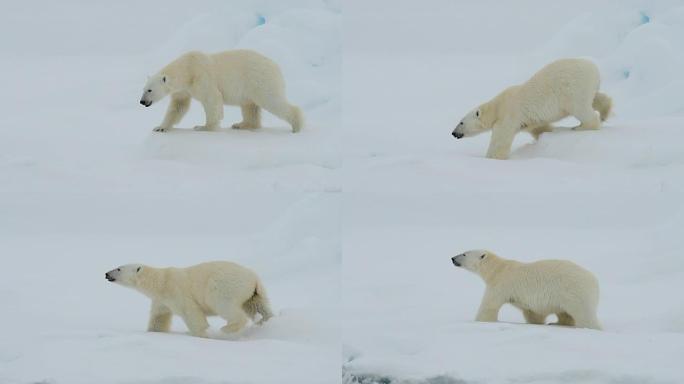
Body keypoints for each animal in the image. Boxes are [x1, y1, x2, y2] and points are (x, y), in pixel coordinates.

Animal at [104, 260, 272, 338]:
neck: (160, 281)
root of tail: (254, 278)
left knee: (225, 305)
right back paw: (267, 323)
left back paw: (226, 329)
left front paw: (204, 333)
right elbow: (159, 318)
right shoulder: (161, 301)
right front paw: (153, 332)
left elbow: (191, 313)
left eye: (119, 268)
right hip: (255, 294)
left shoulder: (176, 291)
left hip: (223, 286)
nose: (106, 273)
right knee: (259, 307)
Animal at [140, 50, 304, 134]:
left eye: (149, 90)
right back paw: (241, 124)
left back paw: (297, 126)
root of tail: (276, 66)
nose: (142, 101)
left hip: (260, 81)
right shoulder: (184, 89)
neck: (187, 68)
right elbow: (178, 106)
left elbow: (212, 98)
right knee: (249, 106)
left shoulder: (201, 76)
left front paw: (203, 127)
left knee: (272, 101)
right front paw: (160, 127)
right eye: (143, 89)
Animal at [452, 58, 612, 158]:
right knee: (596, 98)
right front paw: (546, 134)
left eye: (461, 122)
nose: (453, 133)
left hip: (573, 88)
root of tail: (594, 68)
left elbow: (500, 139)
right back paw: (605, 112)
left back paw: (580, 127)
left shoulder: (508, 114)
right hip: (588, 86)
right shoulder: (528, 121)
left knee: (581, 108)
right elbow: (539, 128)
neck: (496, 106)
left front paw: (491, 157)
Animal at [452, 249, 600, 330]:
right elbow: (532, 313)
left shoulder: (500, 283)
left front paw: (480, 321)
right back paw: (555, 323)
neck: (498, 269)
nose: (453, 258)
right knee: (565, 314)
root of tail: (595, 281)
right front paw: (537, 323)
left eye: (464, 254)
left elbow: (489, 306)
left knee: (584, 315)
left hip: (574, 291)